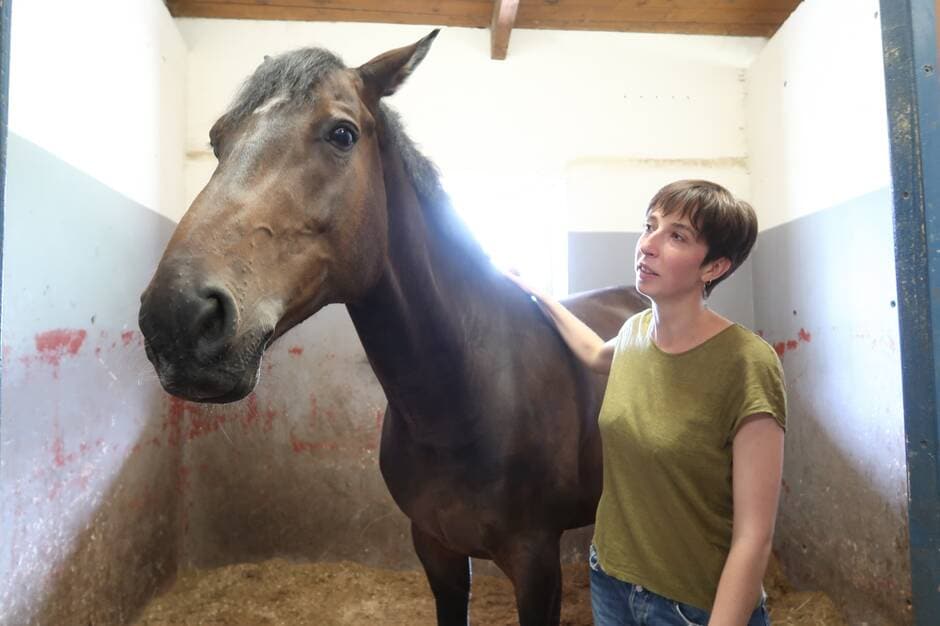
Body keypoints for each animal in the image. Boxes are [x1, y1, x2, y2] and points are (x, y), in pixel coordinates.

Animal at [138, 31, 648, 620]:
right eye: (217, 139)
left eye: (342, 133)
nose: (176, 317)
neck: (467, 395)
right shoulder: (436, 550)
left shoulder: (536, 564)